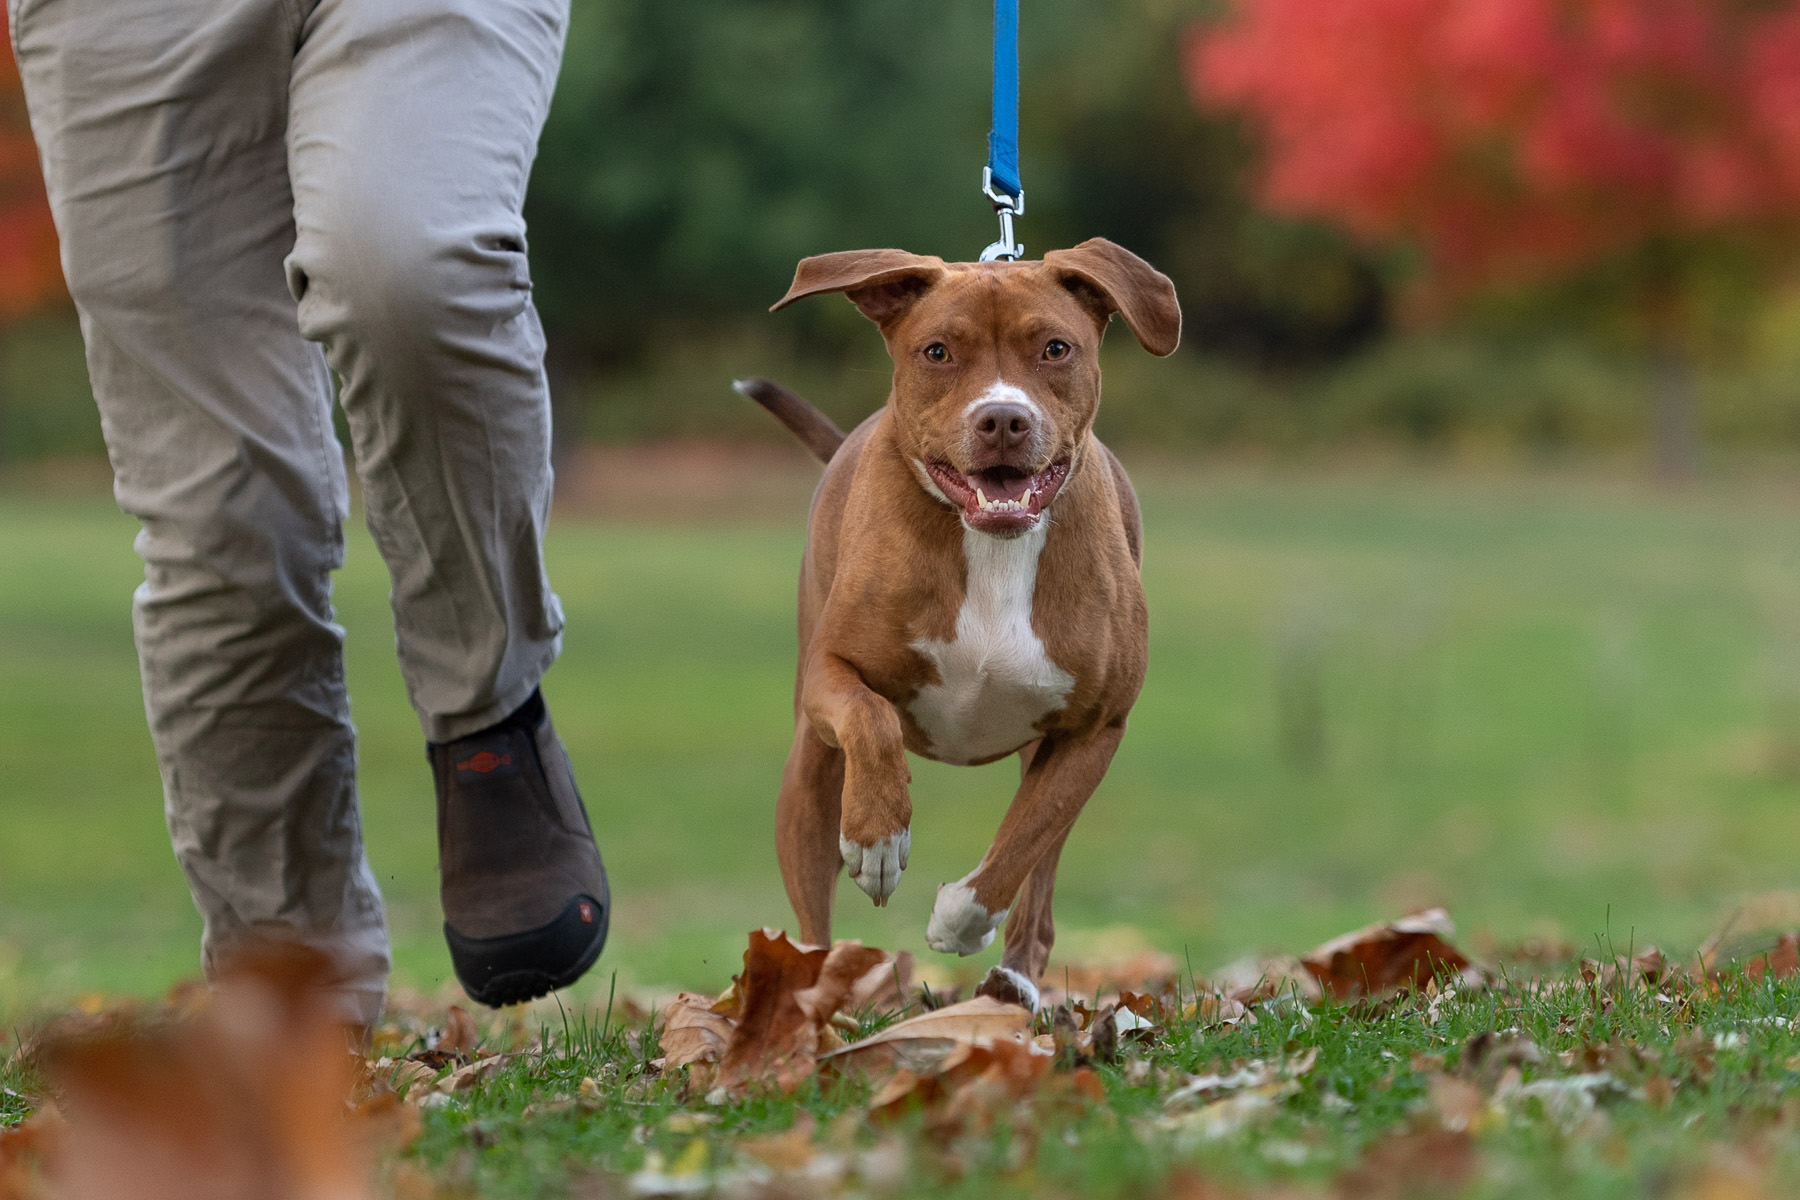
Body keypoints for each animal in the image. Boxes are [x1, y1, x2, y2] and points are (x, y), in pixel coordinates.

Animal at [734, 233, 1180, 1007]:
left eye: (1056, 348)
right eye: (937, 351)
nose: (1002, 419)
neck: (992, 545)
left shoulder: (1096, 729)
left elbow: (1023, 841)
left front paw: (960, 920)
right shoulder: (832, 672)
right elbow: (870, 717)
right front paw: (879, 842)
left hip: (1047, 755)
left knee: (1039, 890)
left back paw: (1014, 985)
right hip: (808, 767)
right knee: (812, 903)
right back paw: (806, 995)